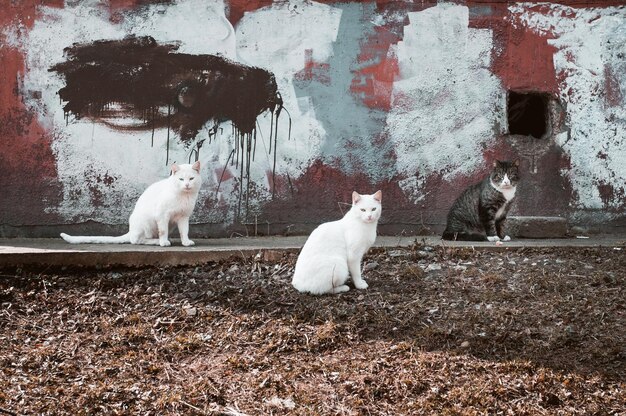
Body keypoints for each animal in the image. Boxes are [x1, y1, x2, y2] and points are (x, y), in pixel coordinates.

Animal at [59, 162, 201, 247]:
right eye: (181, 179)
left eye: (191, 179)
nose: (187, 185)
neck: (184, 196)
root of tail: (131, 230)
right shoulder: (162, 215)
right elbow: (163, 230)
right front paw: (163, 242)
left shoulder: (183, 217)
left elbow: (184, 231)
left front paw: (186, 242)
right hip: (146, 222)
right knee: (137, 240)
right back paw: (157, 241)